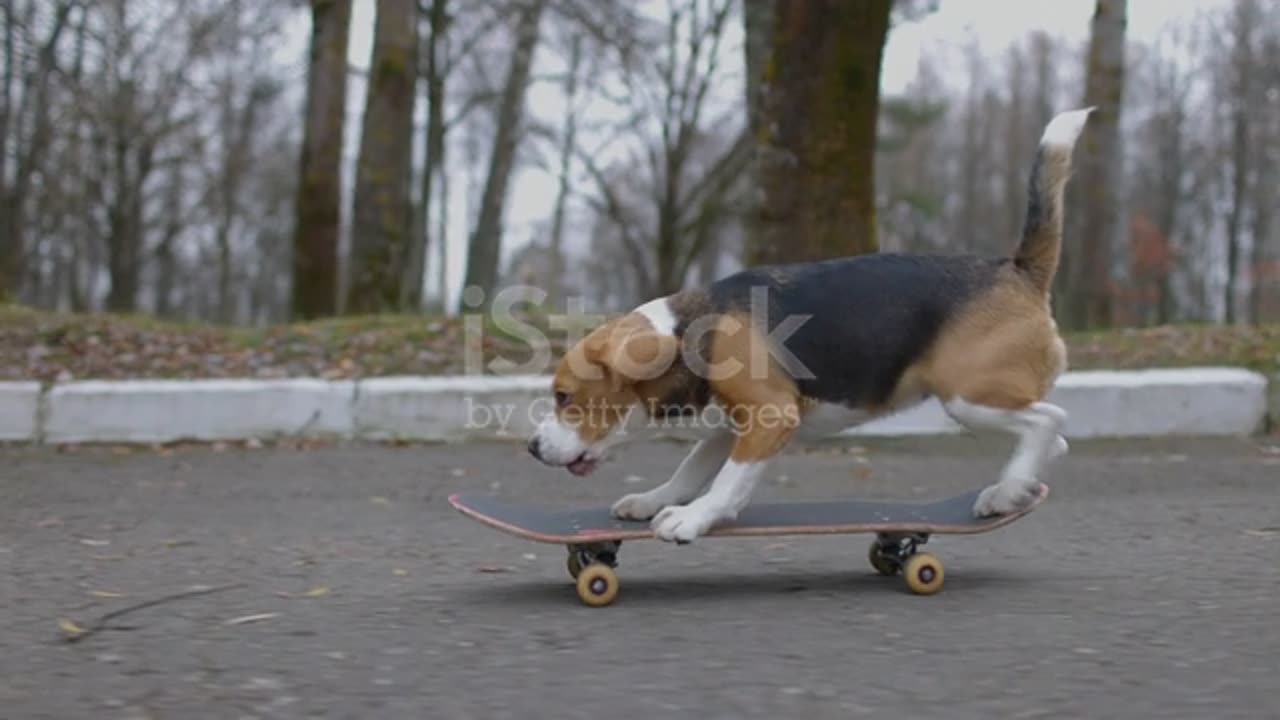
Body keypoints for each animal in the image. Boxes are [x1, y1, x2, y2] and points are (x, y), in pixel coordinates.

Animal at [524, 109, 1095, 540]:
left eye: (565, 397)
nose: (530, 448)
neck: (686, 332)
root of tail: (1017, 268)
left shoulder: (769, 416)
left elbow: (727, 482)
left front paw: (692, 519)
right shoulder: (730, 426)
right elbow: (692, 469)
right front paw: (654, 500)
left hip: (969, 395)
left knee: (1048, 421)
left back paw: (1009, 488)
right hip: (982, 403)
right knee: (1053, 439)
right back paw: (1014, 489)